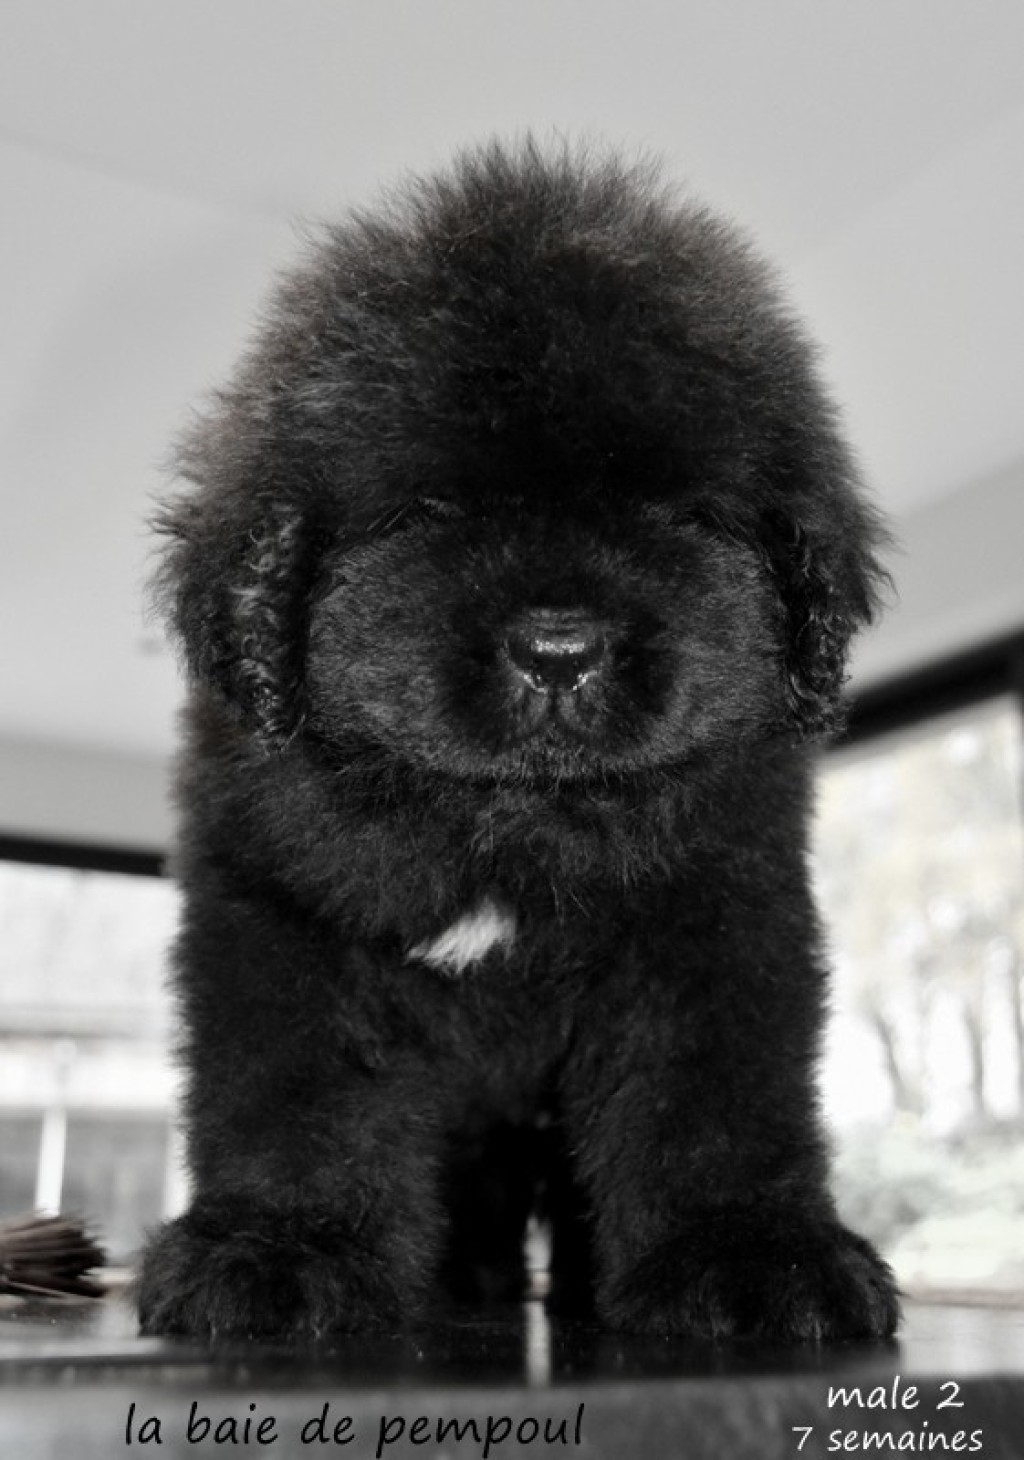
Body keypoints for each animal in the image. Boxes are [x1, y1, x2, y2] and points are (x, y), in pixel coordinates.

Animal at [138, 139, 900, 1342]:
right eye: (429, 510)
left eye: (678, 512)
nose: (558, 647)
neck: (510, 826)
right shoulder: (277, 917)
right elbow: (295, 1090)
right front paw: (277, 1249)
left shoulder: (717, 913)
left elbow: (714, 1092)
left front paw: (750, 1254)